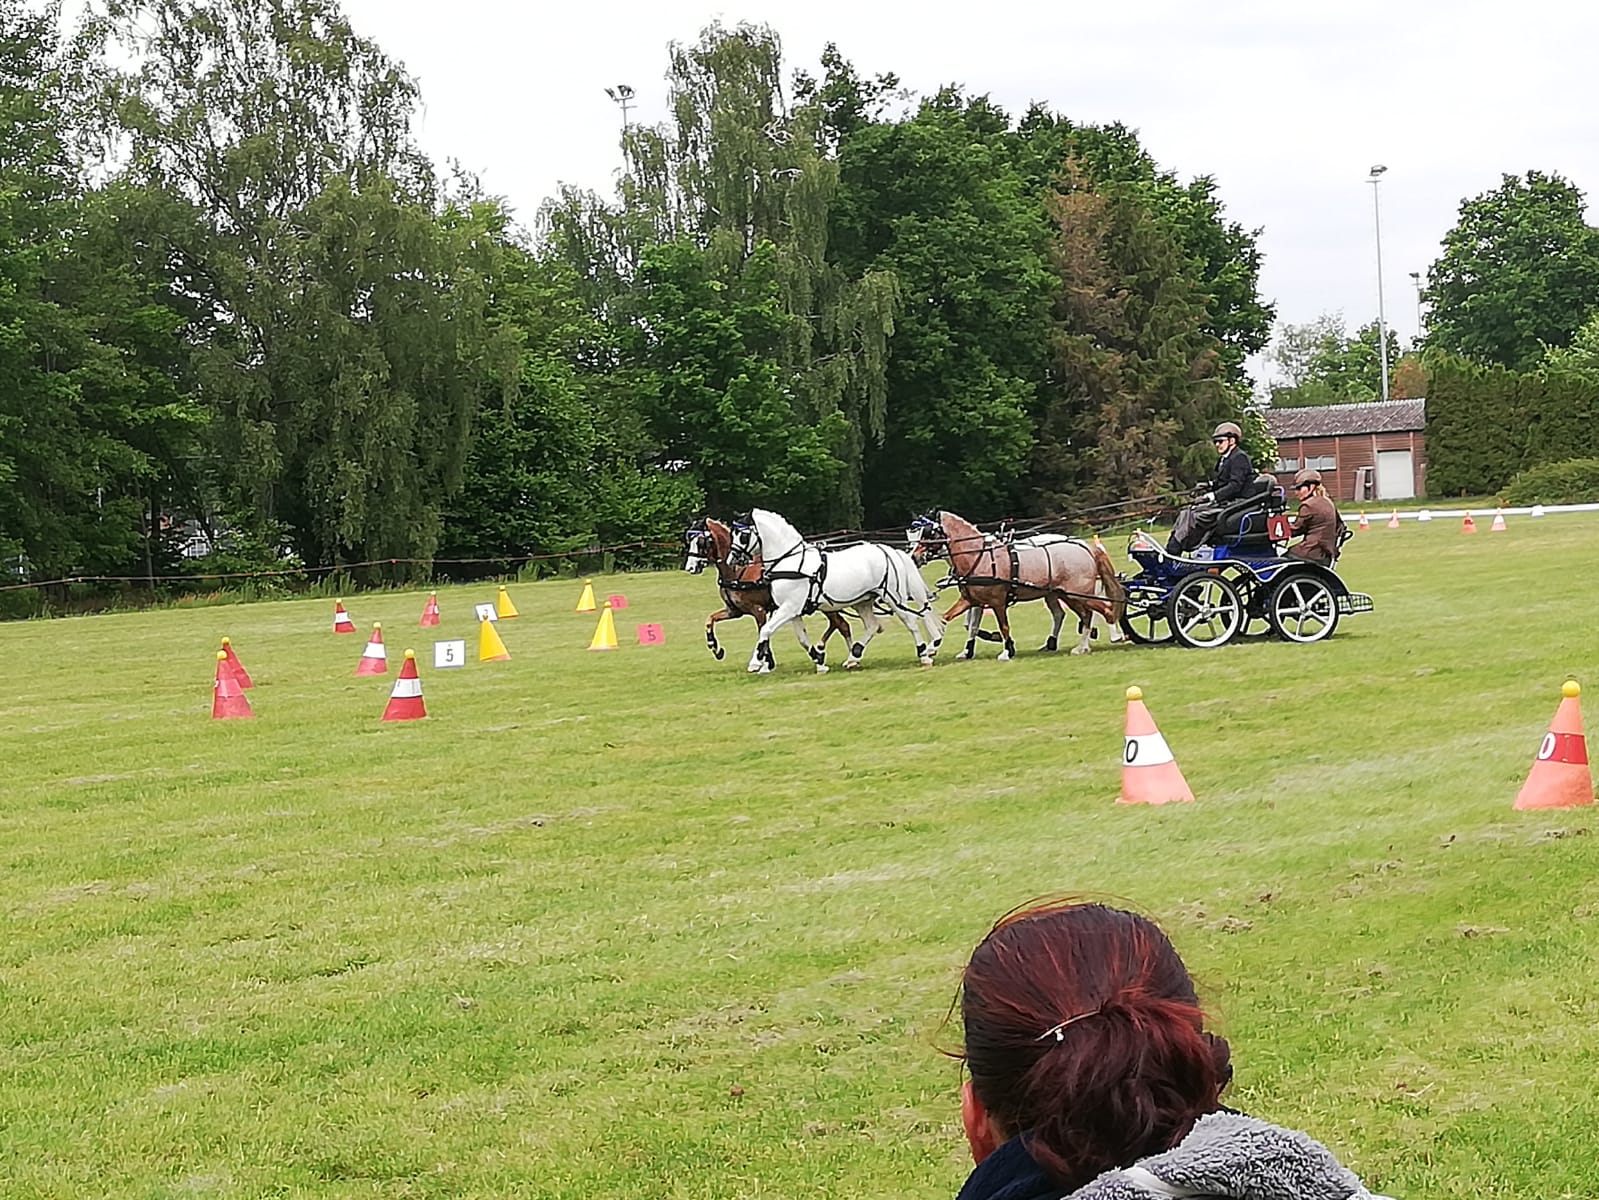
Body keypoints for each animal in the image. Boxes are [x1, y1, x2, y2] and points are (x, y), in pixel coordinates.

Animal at [682, 517, 852, 668]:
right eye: (689, 541)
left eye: (701, 542)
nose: (690, 567)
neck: (737, 571)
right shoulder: (734, 611)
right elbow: (709, 620)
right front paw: (715, 648)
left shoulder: (758, 610)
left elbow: (763, 633)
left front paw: (765, 662)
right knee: (838, 624)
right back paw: (824, 651)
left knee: (842, 625)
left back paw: (846, 656)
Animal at [738, 508, 945, 674]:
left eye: (743, 536)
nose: (734, 557)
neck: (791, 561)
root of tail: (888, 550)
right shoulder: (792, 611)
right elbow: (802, 639)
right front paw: (820, 662)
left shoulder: (789, 608)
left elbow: (766, 630)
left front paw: (755, 663)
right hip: (863, 601)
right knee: (872, 625)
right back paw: (854, 656)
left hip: (892, 598)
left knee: (910, 621)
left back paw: (924, 655)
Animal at [906, 510, 1125, 660]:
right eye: (913, 535)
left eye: (929, 534)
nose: (913, 557)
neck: (980, 556)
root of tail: (1086, 547)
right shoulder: (971, 600)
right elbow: (951, 620)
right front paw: (936, 647)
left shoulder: (997, 602)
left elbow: (1003, 626)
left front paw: (1007, 650)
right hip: (1064, 594)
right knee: (1082, 615)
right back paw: (1080, 647)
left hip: (1077, 593)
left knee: (1104, 609)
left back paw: (1114, 637)